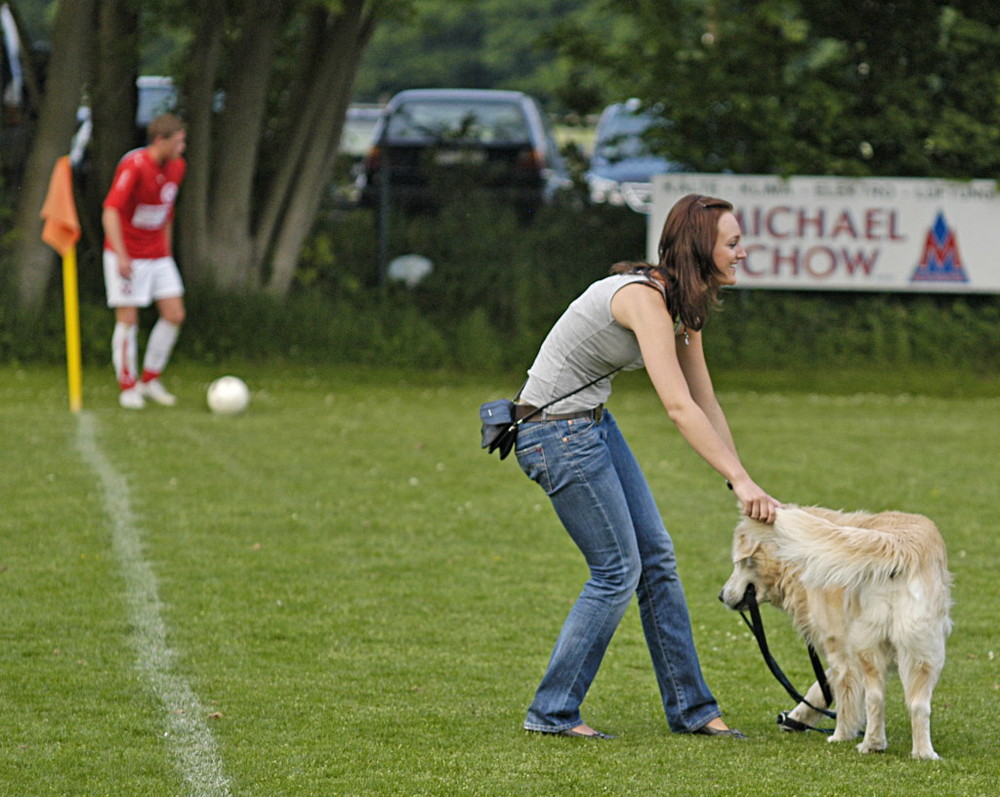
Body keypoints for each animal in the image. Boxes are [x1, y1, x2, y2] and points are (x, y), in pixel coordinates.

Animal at [720, 504, 952, 760]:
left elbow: (842, 694)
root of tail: (898, 543)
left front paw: (840, 734)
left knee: (874, 697)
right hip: (922, 652)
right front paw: (798, 717)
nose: (720, 596)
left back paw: (868, 743)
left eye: (739, 563)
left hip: (869, 646)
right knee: (915, 704)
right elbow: (821, 686)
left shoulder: (839, 648)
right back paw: (921, 753)